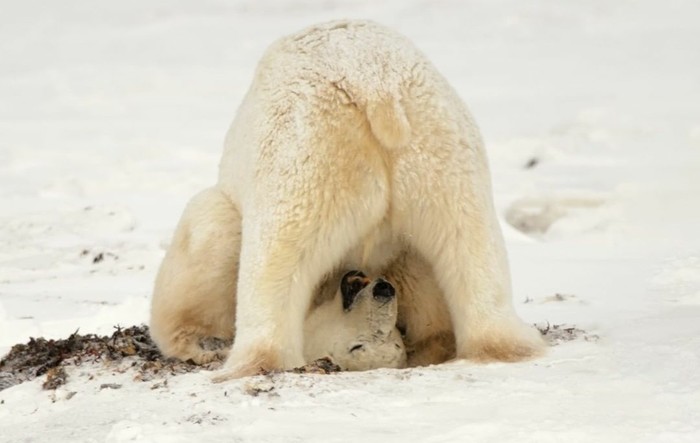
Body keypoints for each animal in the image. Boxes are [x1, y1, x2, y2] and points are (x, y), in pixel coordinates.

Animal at [148, 20, 544, 382]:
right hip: (443, 158)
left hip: (309, 155)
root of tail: (375, 87)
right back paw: (503, 343)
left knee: (251, 242)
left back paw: (233, 355)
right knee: (470, 250)